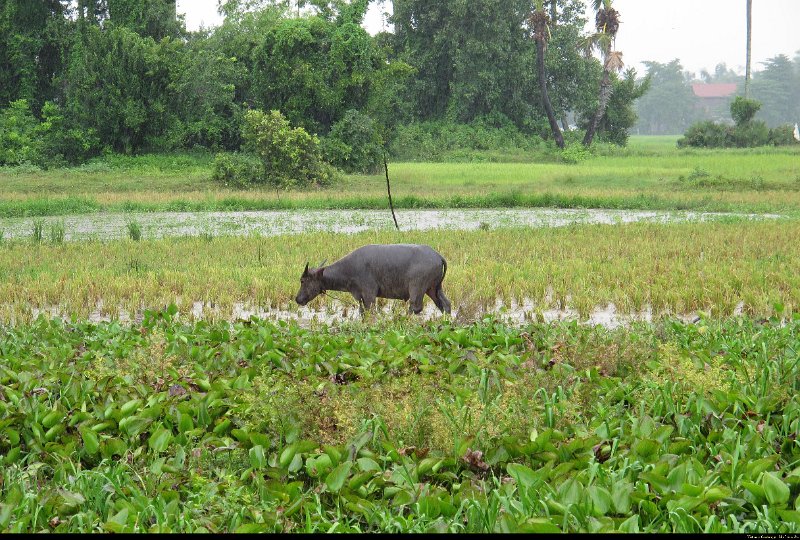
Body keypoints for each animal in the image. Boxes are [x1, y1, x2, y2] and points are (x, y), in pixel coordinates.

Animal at [296, 244, 454, 314]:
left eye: (302, 281)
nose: (298, 299)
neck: (349, 268)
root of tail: (437, 256)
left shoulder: (369, 294)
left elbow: (371, 311)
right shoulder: (360, 297)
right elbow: (363, 312)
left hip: (417, 288)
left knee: (415, 307)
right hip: (433, 288)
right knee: (445, 304)